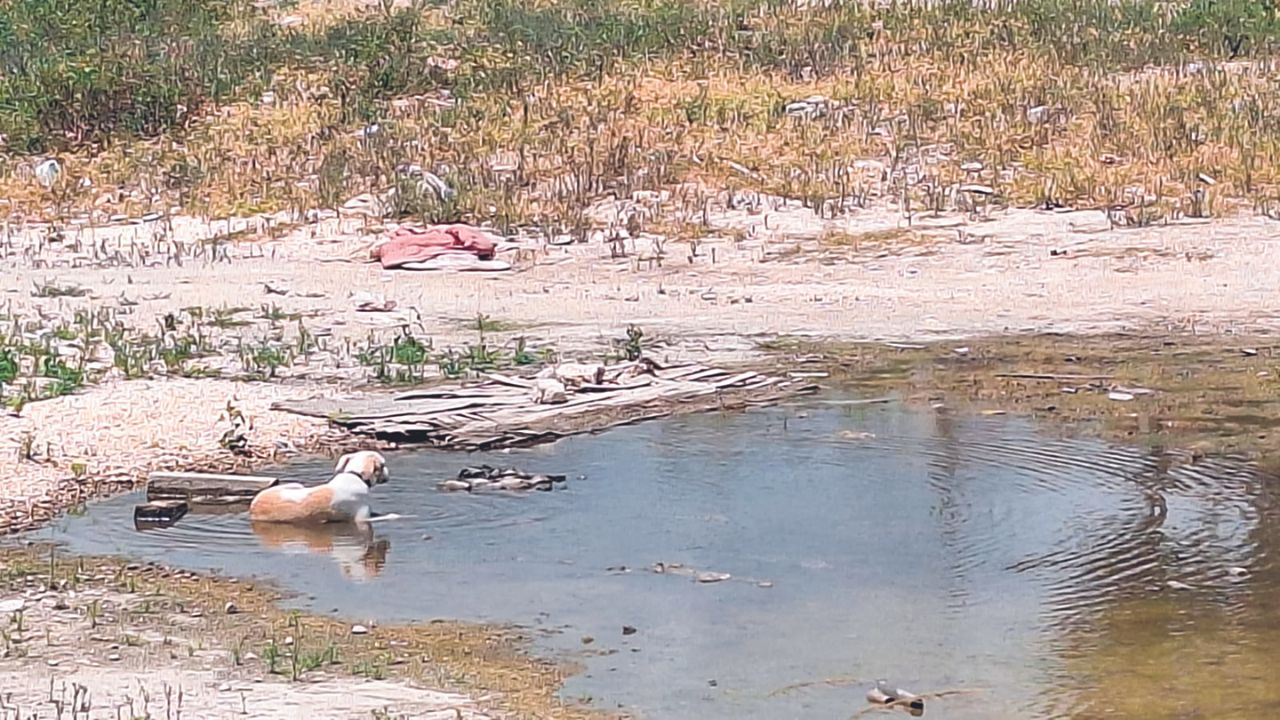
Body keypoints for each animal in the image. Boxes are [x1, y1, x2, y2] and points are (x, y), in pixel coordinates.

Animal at [248, 448, 389, 520]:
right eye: (383, 465)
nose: (388, 473)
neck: (355, 475)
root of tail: (253, 507)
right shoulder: (363, 518)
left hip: (296, 485)